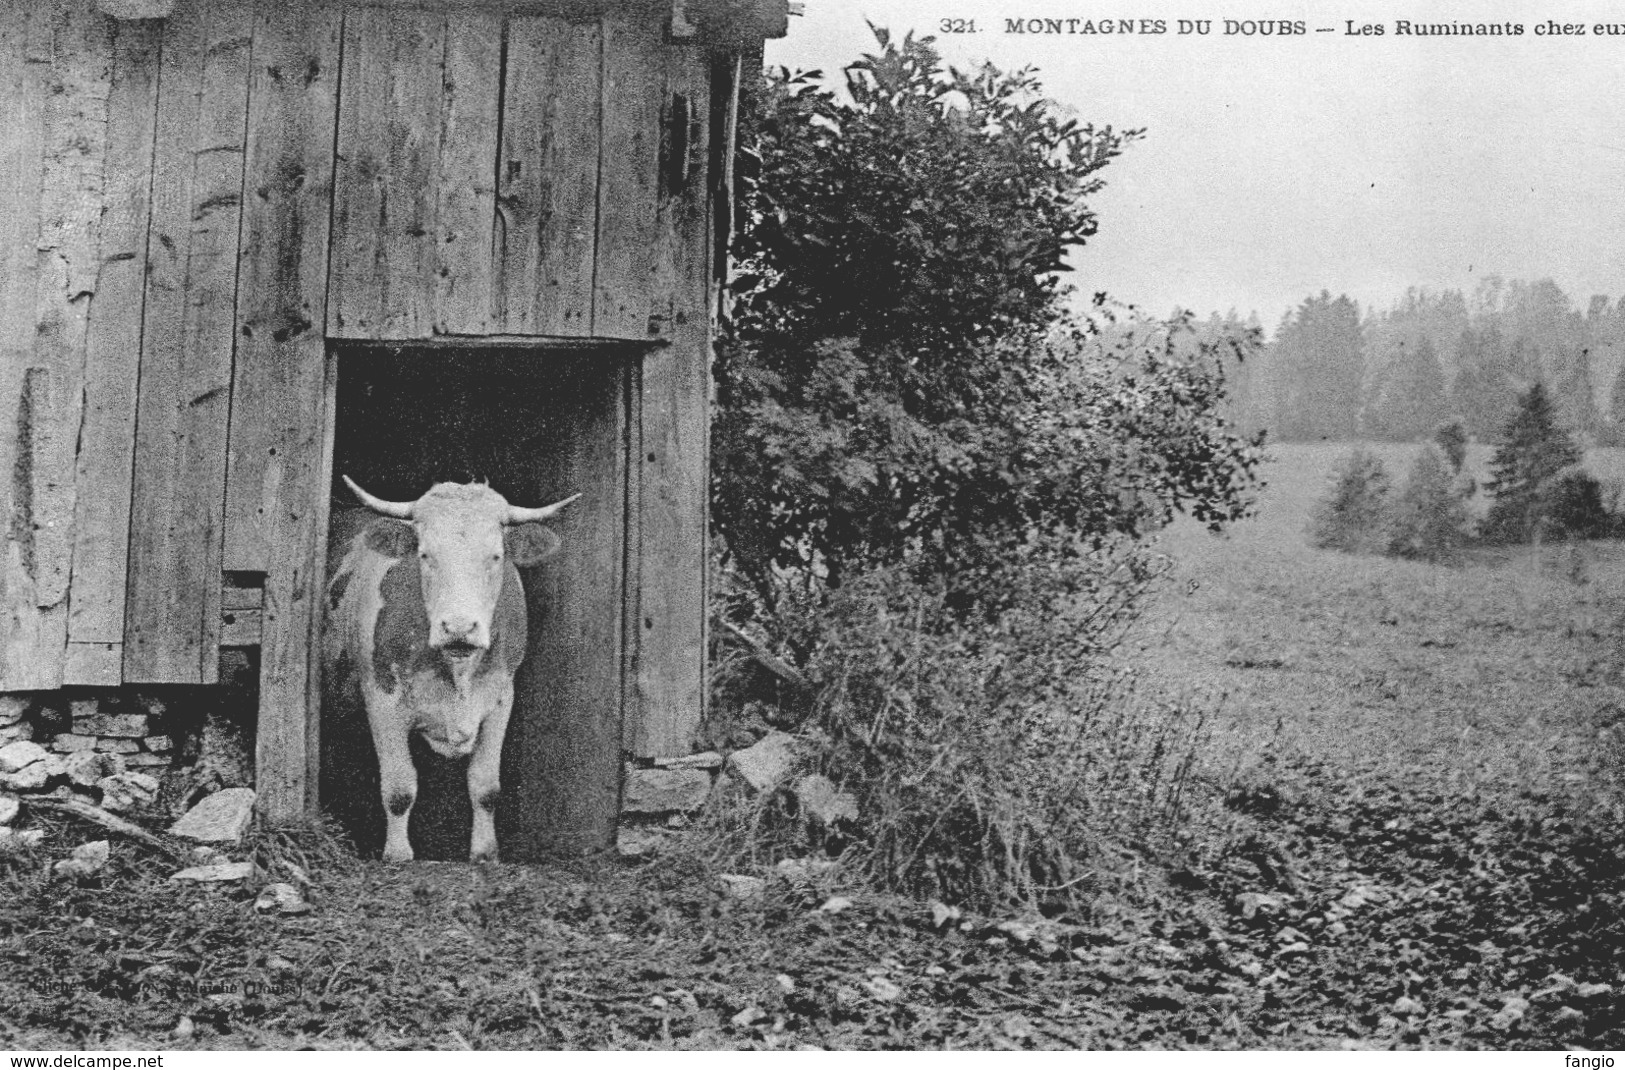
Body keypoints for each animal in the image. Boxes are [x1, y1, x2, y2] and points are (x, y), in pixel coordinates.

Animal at [321, 474, 578, 858]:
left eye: (496, 556)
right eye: (425, 555)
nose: (458, 628)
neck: (457, 673)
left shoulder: (501, 697)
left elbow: (486, 787)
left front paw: (485, 853)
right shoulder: (380, 699)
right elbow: (399, 788)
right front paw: (398, 854)